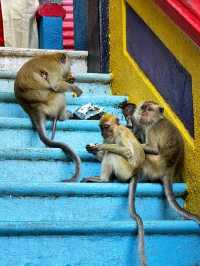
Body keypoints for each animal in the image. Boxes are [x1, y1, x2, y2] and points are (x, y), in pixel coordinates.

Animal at [14, 52, 82, 182]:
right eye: (70, 64)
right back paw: (63, 116)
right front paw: (75, 87)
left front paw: (71, 79)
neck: (53, 56)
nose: (70, 71)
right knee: (59, 93)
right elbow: (56, 85)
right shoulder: (55, 68)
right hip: (52, 102)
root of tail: (35, 109)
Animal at [82, 113, 148, 266]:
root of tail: (135, 173)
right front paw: (92, 149)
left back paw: (103, 179)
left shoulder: (119, 135)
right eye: (101, 127)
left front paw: (100, 146)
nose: (103, 133)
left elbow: (126, 151)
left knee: (112, 154)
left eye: (106, 127)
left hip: (124, 171)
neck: (114, 131)